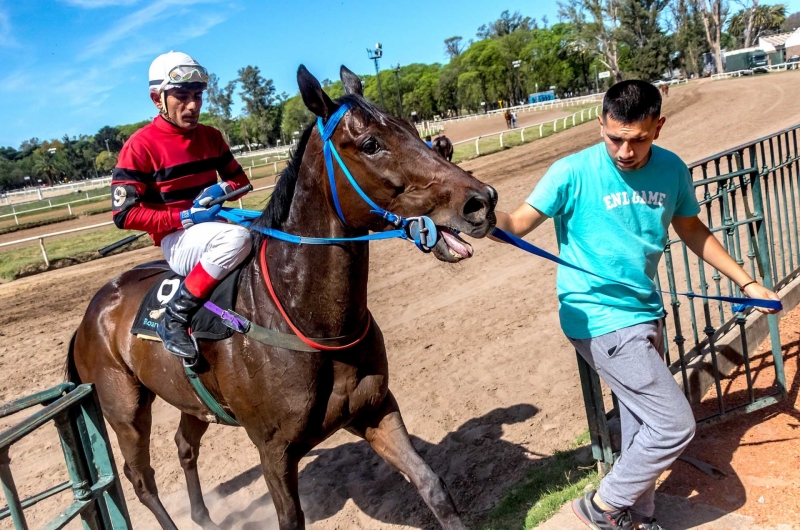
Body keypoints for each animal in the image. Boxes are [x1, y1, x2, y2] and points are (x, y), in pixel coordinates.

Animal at [65, 65, 496, 528]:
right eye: (371, 144)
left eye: (414, 129)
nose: (481, 201)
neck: (302, 317)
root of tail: (91, 314)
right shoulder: (273, 451)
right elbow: (290, 518)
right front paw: (197, 206)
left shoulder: (375, 410)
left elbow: (432, 485)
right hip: (124, 409)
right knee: (141, 479)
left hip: (191, 400)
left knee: (184, 444)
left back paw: (204, 516)